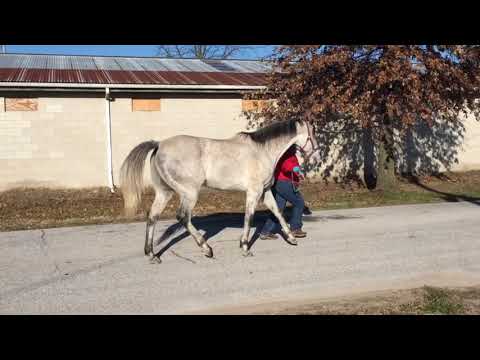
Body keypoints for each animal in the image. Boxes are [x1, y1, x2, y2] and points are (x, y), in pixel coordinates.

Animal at [119, 119, 318, 262]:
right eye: (312, 133)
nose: (316, 153)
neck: (262, 151)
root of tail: (159, 145)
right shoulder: (253, 192)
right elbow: (249, 216)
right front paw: (245, 247)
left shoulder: (265, 191)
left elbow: (277, 211)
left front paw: (291, 238)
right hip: (189, 193)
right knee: (183, 217)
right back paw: (206, 249)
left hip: (164, 192)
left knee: (152, 217)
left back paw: (152, 254)